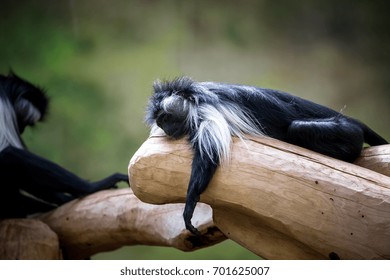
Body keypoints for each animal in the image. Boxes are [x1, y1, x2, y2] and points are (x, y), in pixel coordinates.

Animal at [145, 76, 386, 234]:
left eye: (166, 118)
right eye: (161, 122)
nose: (166, 129)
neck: (193, 96)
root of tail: (351, 121)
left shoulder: (207, 113)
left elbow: (208, 157)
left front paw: (189, 209)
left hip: (345, 131)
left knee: (299, 129)